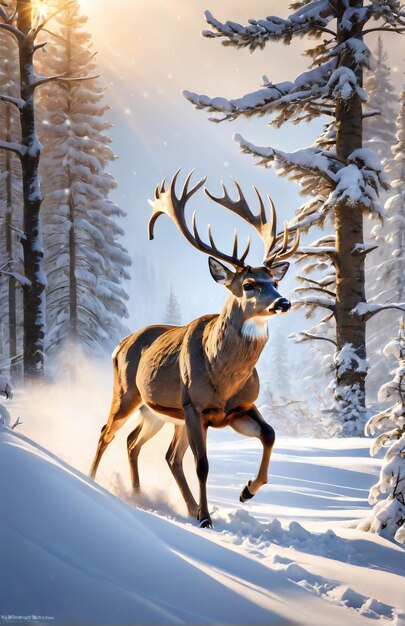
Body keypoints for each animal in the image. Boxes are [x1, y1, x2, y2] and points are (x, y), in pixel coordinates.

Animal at [89, 171, 296, 528]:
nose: (283, 302)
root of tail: (121, 343)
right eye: (248, 284)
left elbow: (270, 433)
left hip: (158, 413)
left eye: (276, 282)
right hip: (128, 393)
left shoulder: (238, 409)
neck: (223, 376)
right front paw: (208, 518)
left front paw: (247, 490)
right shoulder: (195, 407)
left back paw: (152, 497)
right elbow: (203, 465)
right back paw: (90, 480)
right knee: (108, 433)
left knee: (145, 447)